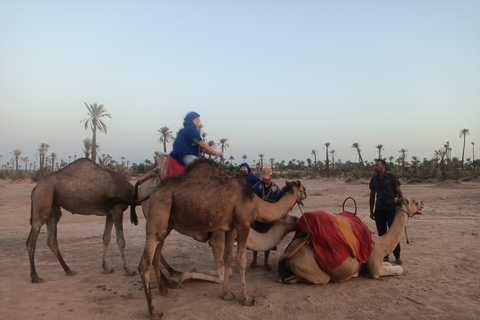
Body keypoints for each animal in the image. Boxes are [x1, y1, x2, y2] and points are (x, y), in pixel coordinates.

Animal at [137, 160, 306, 320]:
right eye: (302, 189)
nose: (305, 194)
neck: (257, 205)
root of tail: (152, 192)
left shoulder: (230, 228)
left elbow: (228, 259)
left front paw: (227, 294)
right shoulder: (243, 224)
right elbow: (241, 260)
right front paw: (247, 299)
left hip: (168, 222)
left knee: (156, 254)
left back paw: (166, 286)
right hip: (159, 210)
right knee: (145, 264)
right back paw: (154, 311)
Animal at [278, 198, 424, 284]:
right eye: (415, 202)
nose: (422, 203)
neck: (381, 244)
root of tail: (287, 256)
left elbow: (388, 264)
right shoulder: (375, 268)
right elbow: (399, 269)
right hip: (313, 271)